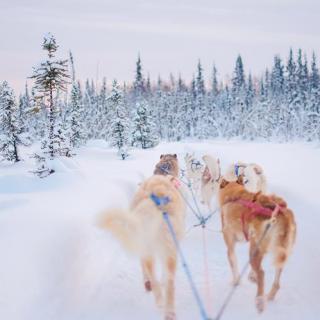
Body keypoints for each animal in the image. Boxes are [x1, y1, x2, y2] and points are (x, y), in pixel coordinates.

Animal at [99, 175, 186, 320]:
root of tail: (157, 205)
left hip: (151, 250)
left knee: (153, 277)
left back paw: (159, 300)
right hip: (169, 250)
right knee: (169, 281)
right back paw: (168, 311)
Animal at [219, 178, 296, 312]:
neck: (233, 192)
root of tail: (279, 213)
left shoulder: (230, 245)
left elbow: (233, 263)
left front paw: (236, 282)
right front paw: (251, 276)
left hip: (254, 250)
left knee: (262, 273)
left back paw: (259, 300)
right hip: (277, 252)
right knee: (276, 281)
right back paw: (269, 296)